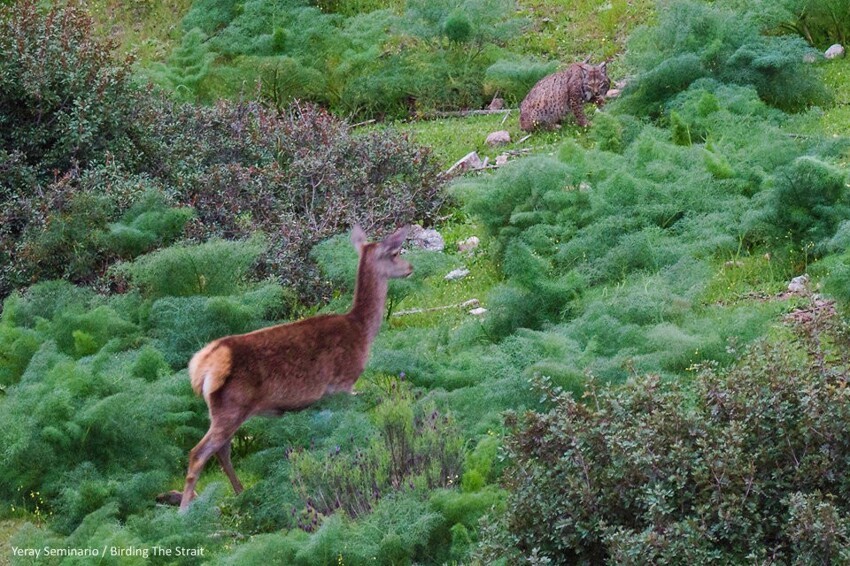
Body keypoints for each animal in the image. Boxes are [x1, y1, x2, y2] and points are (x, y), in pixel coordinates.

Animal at [181, 226, 412, 516]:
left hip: (221, 410)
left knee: (222, 452)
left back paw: (241, 493)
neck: (361, 331)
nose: (410, 267)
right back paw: (184, 512)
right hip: (232, 407)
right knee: (198, 453)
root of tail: (205, 365)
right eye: (395, 253)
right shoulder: (342, 384)